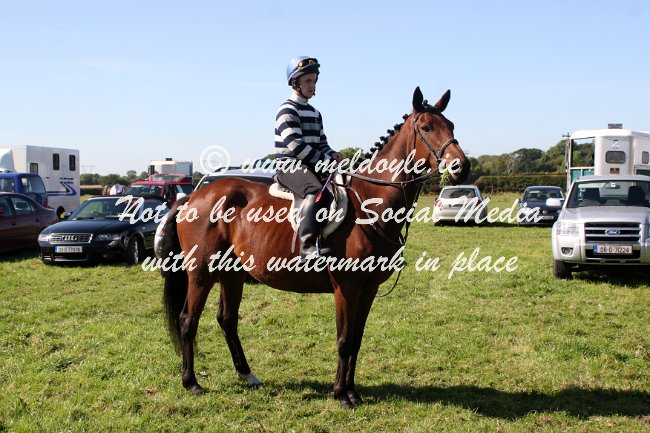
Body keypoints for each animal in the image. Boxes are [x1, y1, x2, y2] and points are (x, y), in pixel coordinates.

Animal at [159, 87, 471, 408]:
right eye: (426, 128)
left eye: (451, 126)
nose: (461, 166)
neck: (369, 202)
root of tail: (194, 196)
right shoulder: (347, 288)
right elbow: (344, 340)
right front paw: (342, 394)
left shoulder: (368, 289)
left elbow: (356, 339)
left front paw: (352, 391)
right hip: (201, 274)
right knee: (188, 320)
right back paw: (191, 383)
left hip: (232, 274)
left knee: (227, 319)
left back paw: (247, 375)